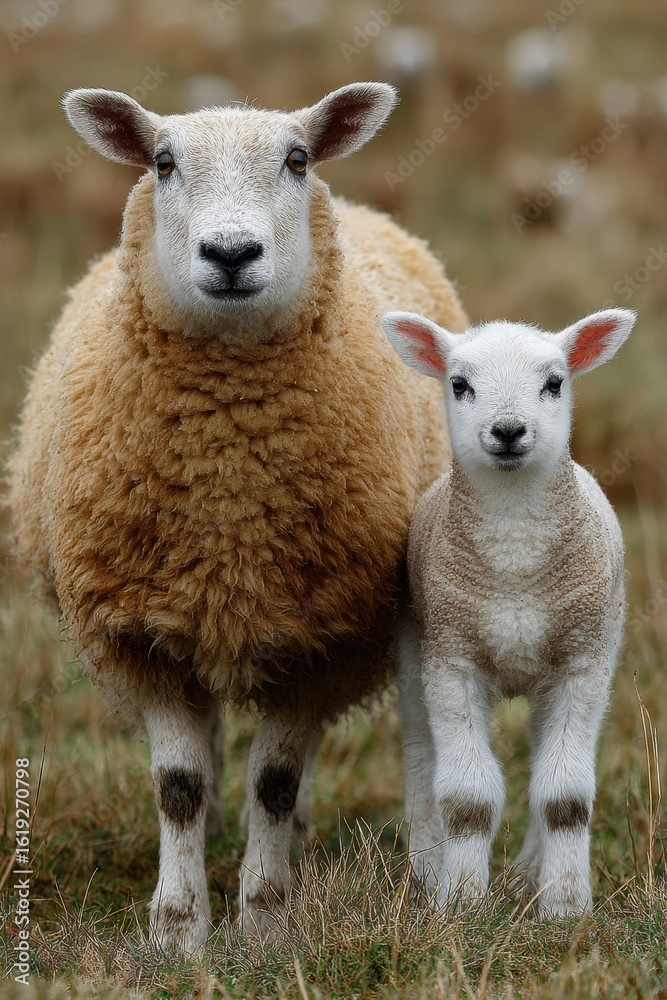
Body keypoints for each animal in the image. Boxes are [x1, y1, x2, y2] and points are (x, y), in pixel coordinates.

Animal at [6, 82, 468, 953]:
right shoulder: (140, 630)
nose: (229, 253)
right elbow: (178, 784)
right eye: (162, 162)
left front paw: (262, 923)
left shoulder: (322, 636)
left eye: (297, 158)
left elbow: (278, 780)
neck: (228, 490)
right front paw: (178, 929)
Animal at [381, 306, 636, 916]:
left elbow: (565, 797)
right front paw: (461, 904)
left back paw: (528, 874)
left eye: (554, 382)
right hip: (414, 649)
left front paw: (566, 907)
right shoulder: (451, 657)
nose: (508, 431)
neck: (514, 562)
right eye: (459, 384)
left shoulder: (584, 658)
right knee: (420, 757)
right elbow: (467, 800)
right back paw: (427, 871)